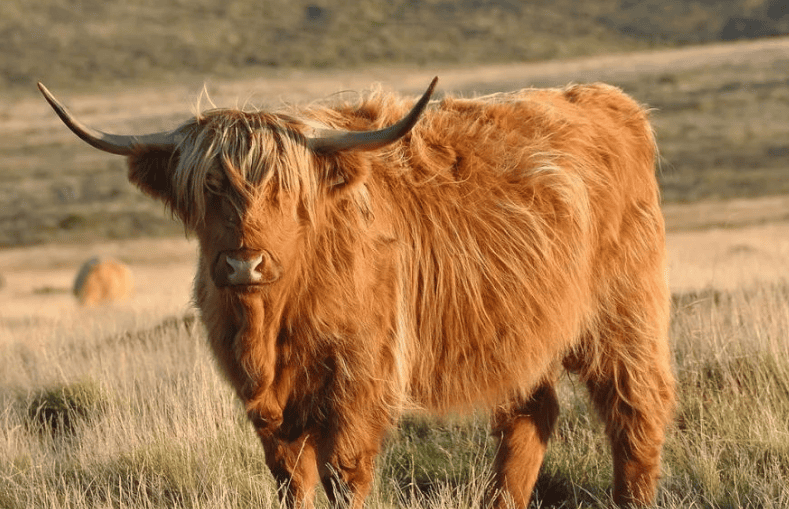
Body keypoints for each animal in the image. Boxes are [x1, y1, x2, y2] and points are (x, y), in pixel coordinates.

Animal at [40, 76, 676, 508]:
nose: (245, 262)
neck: (271, 326)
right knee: (530, 417)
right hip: (519, 333)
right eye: (211, 186)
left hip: (624, 316)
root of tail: (609, 101)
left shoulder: (359, 380)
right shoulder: (268, 406)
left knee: (636, 413)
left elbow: (344, 475)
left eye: (284, 191)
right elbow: (291, 479)